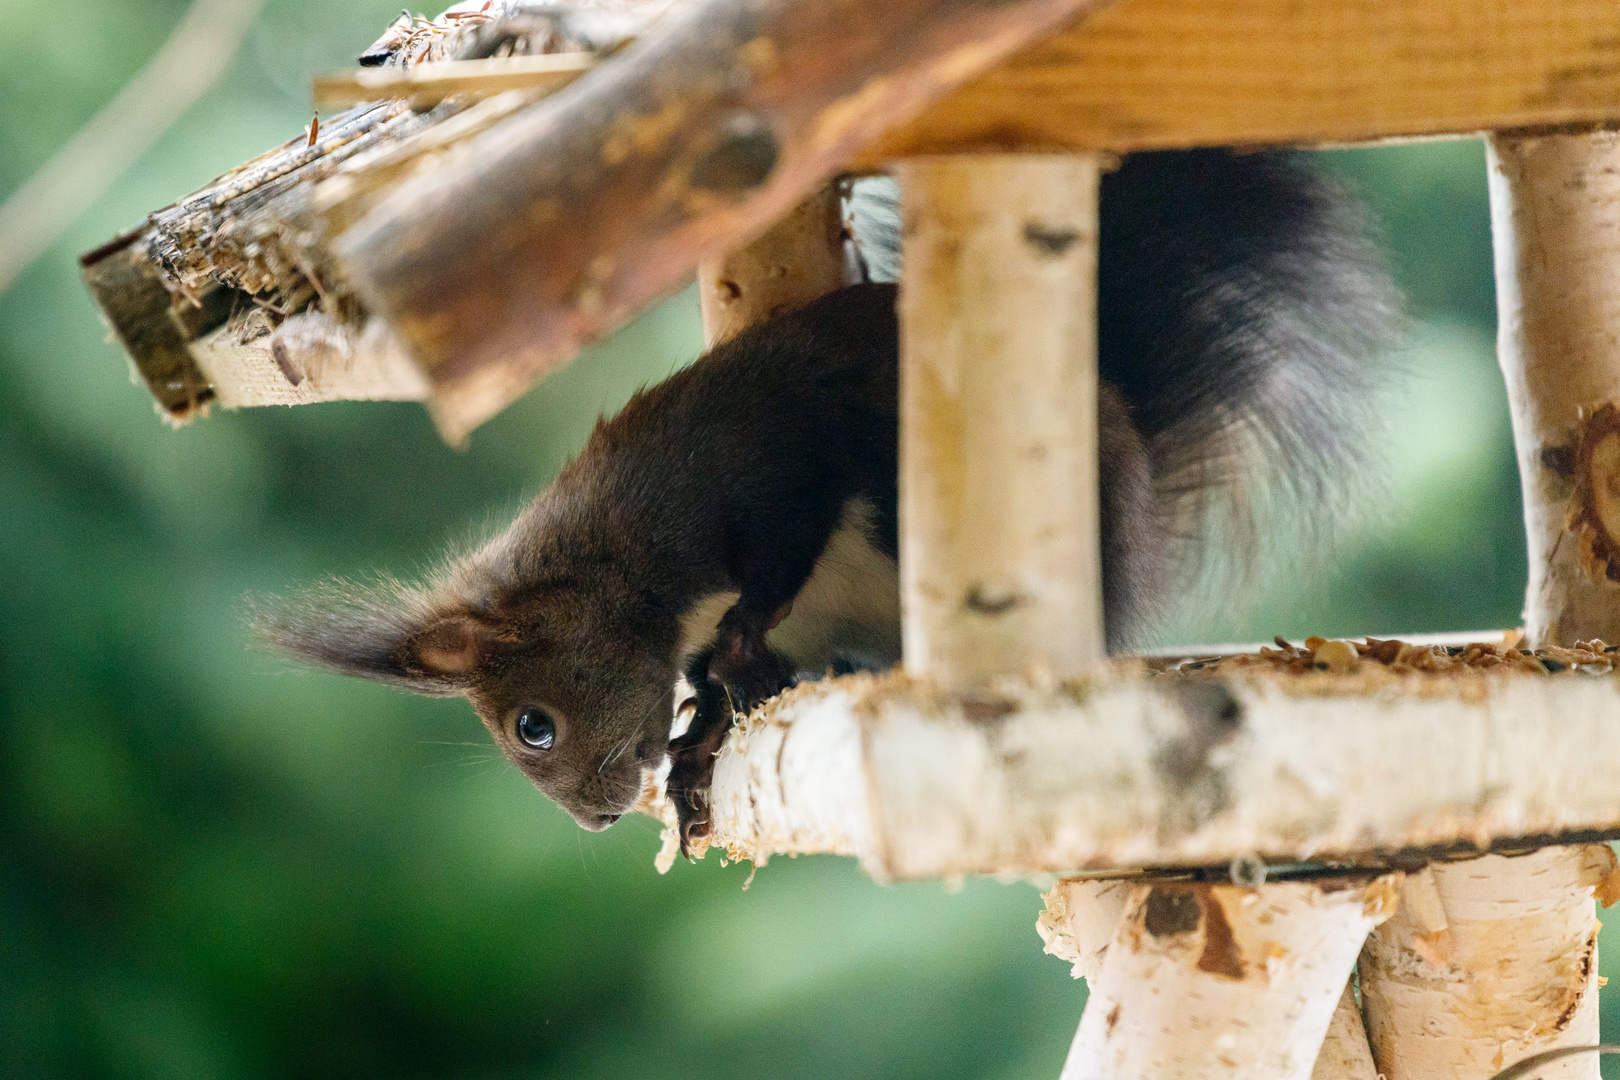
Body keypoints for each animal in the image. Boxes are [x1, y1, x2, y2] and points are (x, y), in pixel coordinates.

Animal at [259, 149, 1399, 854]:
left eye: (532, 725)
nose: (593, 823)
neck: (621, 553)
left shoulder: (761, 464)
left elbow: (785, 542)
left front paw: (737, 644)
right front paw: (703, 714)